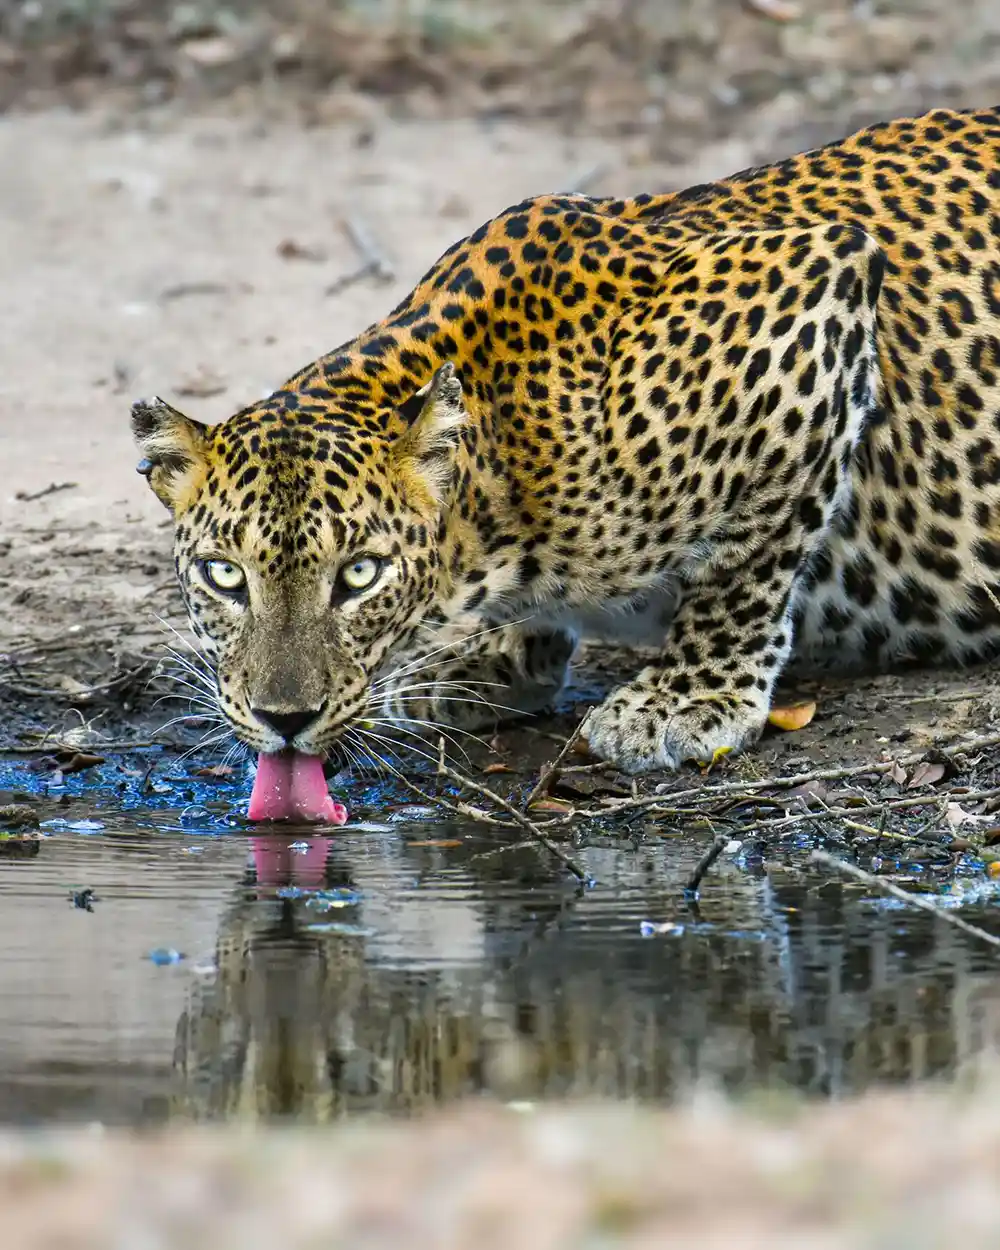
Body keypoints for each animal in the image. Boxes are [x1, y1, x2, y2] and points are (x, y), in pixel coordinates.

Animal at [133, 104, 1000, 775]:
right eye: (223, 576)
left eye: (359, 576)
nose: (284, 720)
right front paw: (489, 661)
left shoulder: (812, 290)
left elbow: (746, 558)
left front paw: (686, 699)